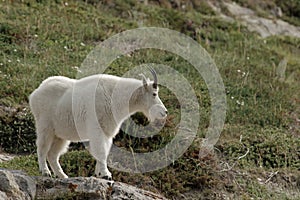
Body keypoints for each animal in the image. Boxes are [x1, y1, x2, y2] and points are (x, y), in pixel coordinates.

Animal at [29, 69, 168, 180]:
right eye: (154, 94)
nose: (164, 112)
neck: (116, 97)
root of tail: (34, 94)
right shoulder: (97, 128)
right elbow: (100, 150)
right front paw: (106, 175)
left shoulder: (107, 130)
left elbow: (104, 151)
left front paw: (99, 174)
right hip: (45, 126)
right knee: (42, 148)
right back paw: (45, 172)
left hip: (60, 133)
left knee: (53, 154)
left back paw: (63, 176)